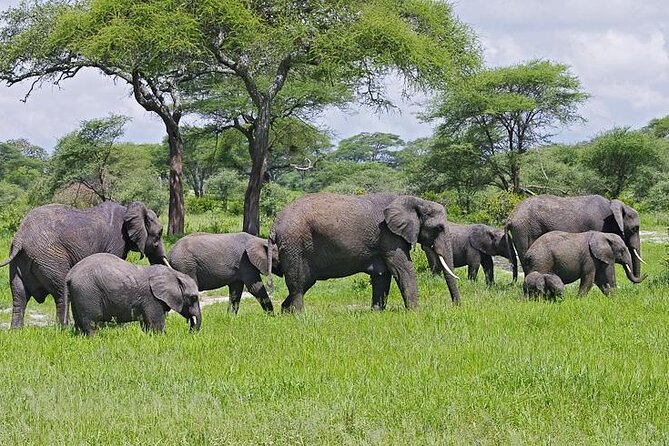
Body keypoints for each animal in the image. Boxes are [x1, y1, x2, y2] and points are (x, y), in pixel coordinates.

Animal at [0, 201, 167, 328]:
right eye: (159, 234)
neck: (128, 209)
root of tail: (20, 237)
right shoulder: (117, 240)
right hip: (50, 257)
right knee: (61, 292)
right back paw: (64, 328)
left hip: (19, 261)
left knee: (19, 295)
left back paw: (16, 331)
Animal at [65, 254, 201, 334]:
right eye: (193, 298)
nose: (190, 333)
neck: (174, 274)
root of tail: (70, 275)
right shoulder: (152, 299)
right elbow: (156, 323)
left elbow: (146, 323)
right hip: (87, 293)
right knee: (91, 321)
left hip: (77, 294)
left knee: (79, 321)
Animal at [268, 193, 462, 314]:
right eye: (439, 228)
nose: (457, 307)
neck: (414, 200)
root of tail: (274, 226)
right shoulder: (389, 236)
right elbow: (402, 269)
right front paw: (415, 312)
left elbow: (382, 275)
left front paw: (376, 313)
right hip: (295, 244)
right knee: (298, 284)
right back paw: (300, 316)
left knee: (303, 283)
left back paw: (285, 313)